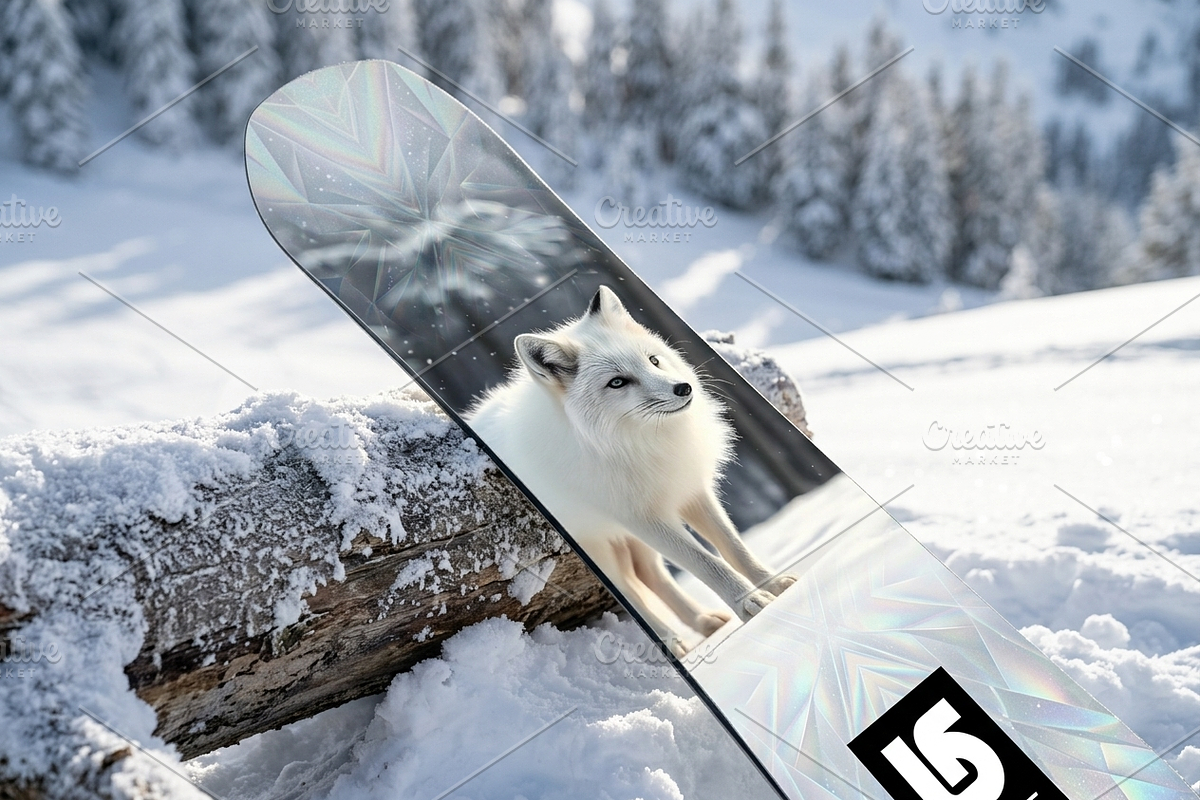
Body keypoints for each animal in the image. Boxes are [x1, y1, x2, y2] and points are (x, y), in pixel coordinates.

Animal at [466, 286, 795, 655]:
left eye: (652, 360)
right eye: (618, 382)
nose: (683, 388)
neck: (636, 444)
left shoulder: (689, 491)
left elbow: (734, 549)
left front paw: (775, 586)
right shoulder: (643, 519)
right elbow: (708, 565)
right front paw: (752, 605)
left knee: (648, 575)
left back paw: (704, 623)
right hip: (599, 550)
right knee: (630, 590)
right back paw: (670, 642)